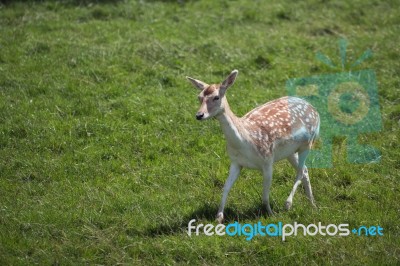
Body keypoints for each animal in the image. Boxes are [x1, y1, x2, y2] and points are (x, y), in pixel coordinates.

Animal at [186, 69, 320, 223]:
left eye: (216, 97)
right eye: (199, 97)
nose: (199, 115)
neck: (245, 143)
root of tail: (315, 110)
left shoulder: (267, 161)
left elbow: (265, 195)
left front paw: (271, 214)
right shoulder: (236, 162)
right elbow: (225, 188)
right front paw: (219, 217)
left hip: (308, 142)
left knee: (300, 171)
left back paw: (288, 204)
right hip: (290, 152)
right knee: (305, 170)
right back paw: (312, 204)